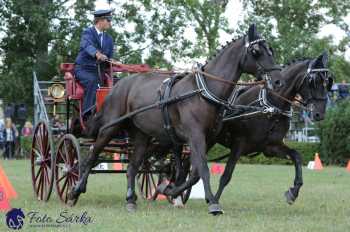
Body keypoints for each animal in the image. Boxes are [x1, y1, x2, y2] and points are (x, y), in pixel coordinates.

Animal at [67, 24, 282, 214]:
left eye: (270, 49)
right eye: (256, 51)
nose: (278, 81)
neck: (204, 90)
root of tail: (118, 86)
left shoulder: (207, 139)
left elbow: (192, 173)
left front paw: (169, 190)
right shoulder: (195, 136)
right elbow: (202, 169)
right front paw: (212, 203)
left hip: (141, 135)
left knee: (133, 167)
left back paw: (130, 200)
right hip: (110, 128)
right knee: (92, 156)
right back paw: (75, 191)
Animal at [213, 52, 330, 203]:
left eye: (328, 82)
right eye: (314, 81)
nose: (319, 114)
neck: (271, 107)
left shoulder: (270, 147)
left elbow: (296, 156)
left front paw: (293, 191)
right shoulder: (238, 144)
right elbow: (226, 176)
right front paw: (214, 201)